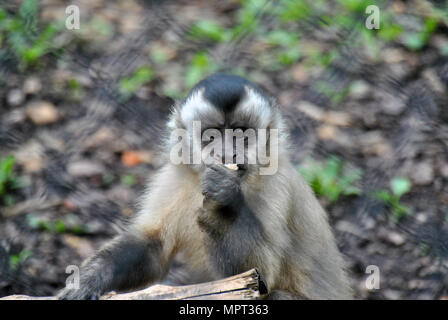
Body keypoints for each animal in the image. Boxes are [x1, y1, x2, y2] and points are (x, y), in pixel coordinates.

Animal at [57, 73, 354, 300]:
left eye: (241, 133)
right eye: (211, 135)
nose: (227, 155)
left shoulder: (276, 183)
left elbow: (258, 279)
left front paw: (223, 206)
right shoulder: (174, 176)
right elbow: (152, 248)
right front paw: (90, 279)